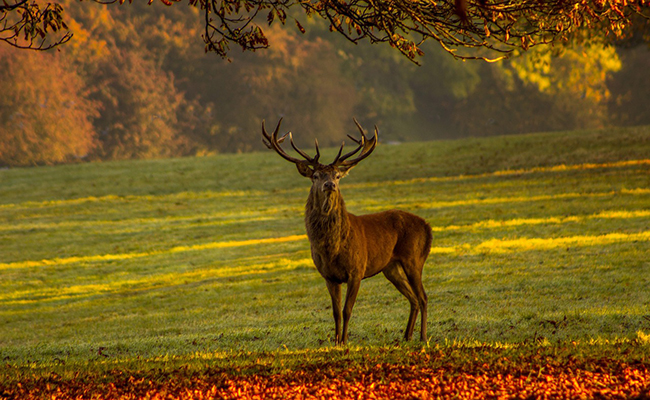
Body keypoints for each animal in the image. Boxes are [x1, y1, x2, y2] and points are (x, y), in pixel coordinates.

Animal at [260, 118, 432, 344]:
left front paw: (345, 340)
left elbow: (347, 310)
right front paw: (335, 341)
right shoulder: (328, 276)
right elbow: (335, 312)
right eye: (316, 175)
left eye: (337, 175)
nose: (329, 184)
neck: (332, 249)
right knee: (413, 297)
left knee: (423, 296)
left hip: (414, 258)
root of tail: (427, 227)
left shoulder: (357, 270)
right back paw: (407, 335)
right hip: (391, 267)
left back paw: (423, 336)